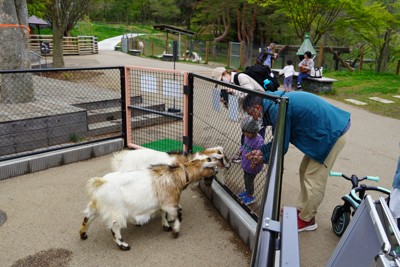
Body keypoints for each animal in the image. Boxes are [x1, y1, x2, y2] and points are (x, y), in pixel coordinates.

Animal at [78, 154, 222, 252]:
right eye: (210, 161)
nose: (217, 170)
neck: (177, 176)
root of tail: (101, 183)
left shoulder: (163, 203)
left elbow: (163, 213)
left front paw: (166, 226)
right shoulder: (170, 203)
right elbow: (178, 214)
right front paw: (175, 231)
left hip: (95, 206)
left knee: (87, 218)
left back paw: (83, 234)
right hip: (116, 211)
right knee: (114, 228)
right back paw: (123, 245)